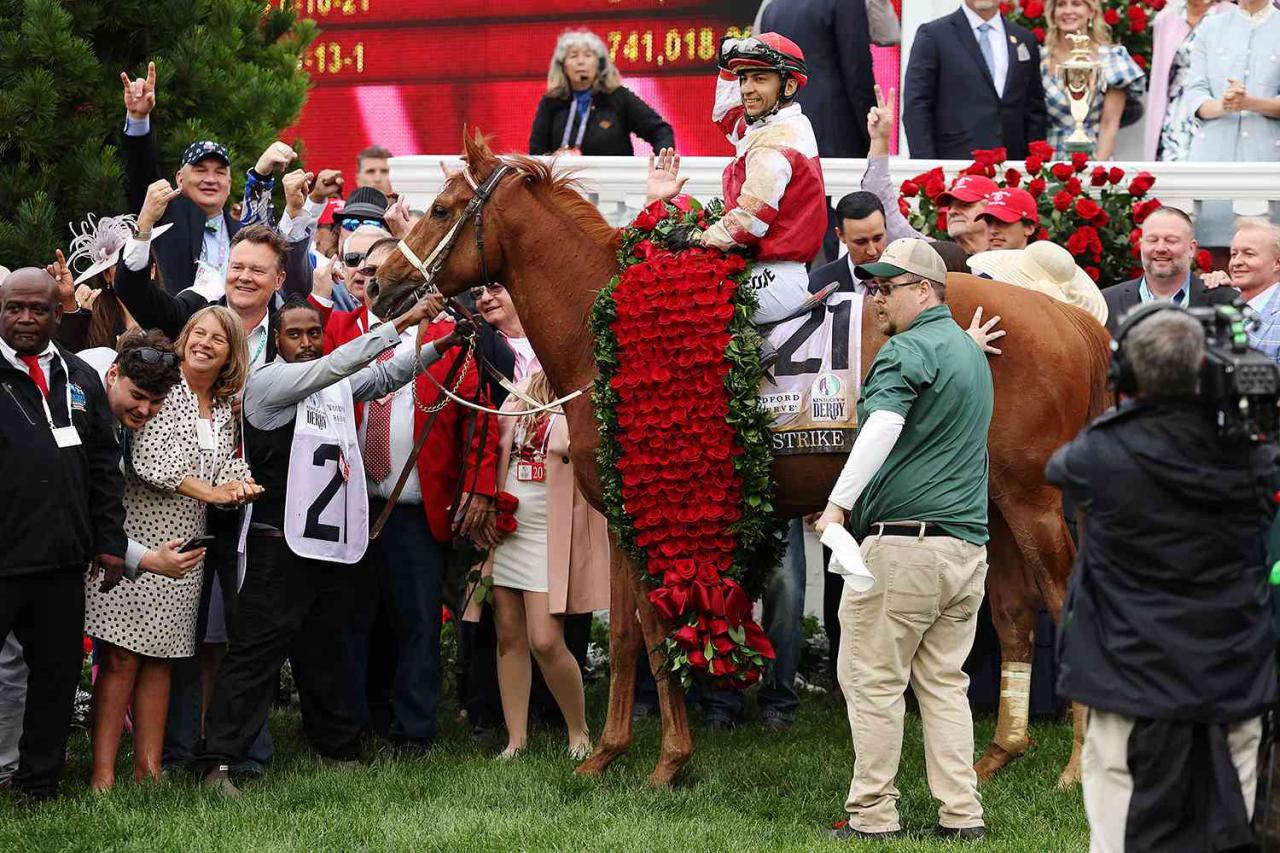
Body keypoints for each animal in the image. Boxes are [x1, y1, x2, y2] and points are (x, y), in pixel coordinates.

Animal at [371, 133, 1111, 783]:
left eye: (441, 209)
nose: (381, 282)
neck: (600, 332)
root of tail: (1068, 318)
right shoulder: (622, 514)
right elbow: (632, 636)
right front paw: (609, 755)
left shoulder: (635, 512)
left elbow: (652, 632)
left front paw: (664, 761)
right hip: (993, 503)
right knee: (1014, 614)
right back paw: (998, 755)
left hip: (1032, 501)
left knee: (1064, 606)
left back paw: (1076, 768)